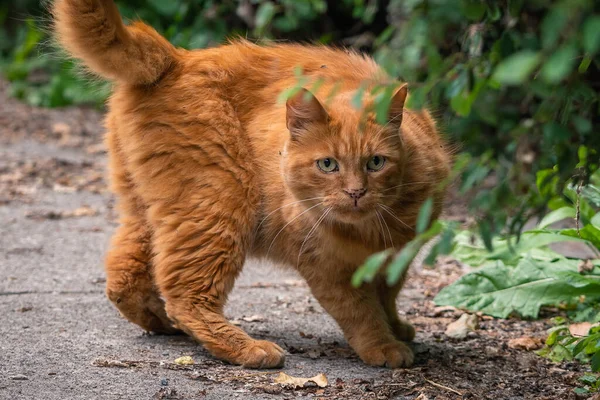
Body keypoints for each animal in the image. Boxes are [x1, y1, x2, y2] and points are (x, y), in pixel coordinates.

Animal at [54, 0, 450, 368]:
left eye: (375, 163)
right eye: (327, 164)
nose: (355, 192)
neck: (364, 233)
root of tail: (178, 57)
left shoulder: (397, 256)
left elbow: (388, 294)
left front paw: (396, 328)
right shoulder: (322, 264)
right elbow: (360, 309)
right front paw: (382, 345)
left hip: (149, 208)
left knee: (124, 275)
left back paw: (162, 322)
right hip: (221, 201)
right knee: (185, 293)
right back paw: (246, 348)